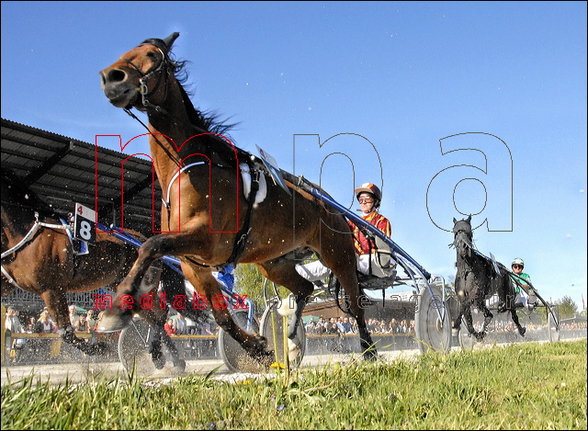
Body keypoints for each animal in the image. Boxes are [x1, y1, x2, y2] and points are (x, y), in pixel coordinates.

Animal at [0, 168, 185, 368]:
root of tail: (144, 239)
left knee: (160, 313)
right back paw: (168, 357)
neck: (26, 233)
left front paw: (101, 348)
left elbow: (66, 333)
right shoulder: (9, 285)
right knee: (154, 316)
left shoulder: (51, 289)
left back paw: (162, 354)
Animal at [100, 33, 376, 362]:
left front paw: (117, 309)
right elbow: (220, 316)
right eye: (126, 51)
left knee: (355, 302)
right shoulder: (194, 265)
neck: (187, 169)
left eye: (153, 55)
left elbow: (150, 245)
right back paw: (292, 337)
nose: (111, 78)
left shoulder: (208, 241)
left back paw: (369, 350)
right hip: (273, 262)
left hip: (338, 253)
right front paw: (258, 348)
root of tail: (329, 204)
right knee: (305, 287)